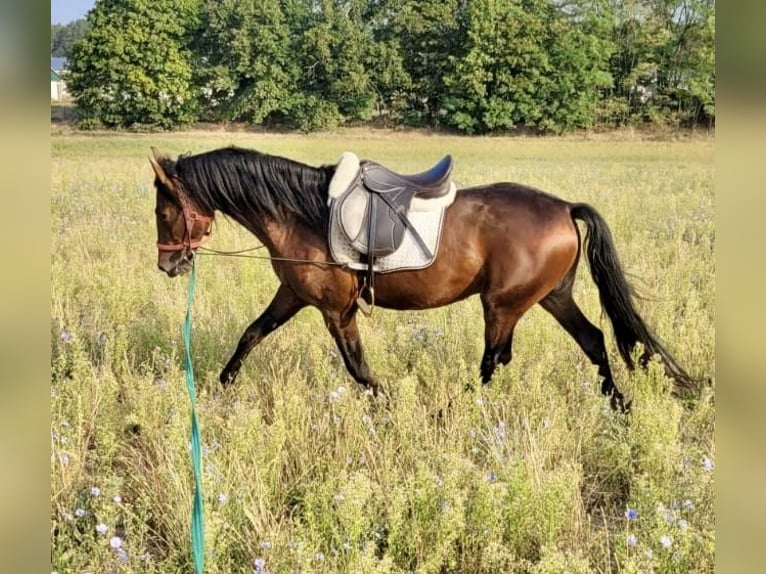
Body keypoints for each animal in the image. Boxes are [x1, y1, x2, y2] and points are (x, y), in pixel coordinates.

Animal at [148, 146, 696, 412]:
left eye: (163, 209)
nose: (167, 266)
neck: (302, 213)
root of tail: (564, 207)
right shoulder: (293, 295)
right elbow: (251, 335)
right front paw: (219, 387)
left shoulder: (335, 310)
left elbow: (357, 367)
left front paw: (388, 402)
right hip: (549, 297)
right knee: (594, 340)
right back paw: (618, 404)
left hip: (503, 304)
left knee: (494, 360)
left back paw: (455, 409)